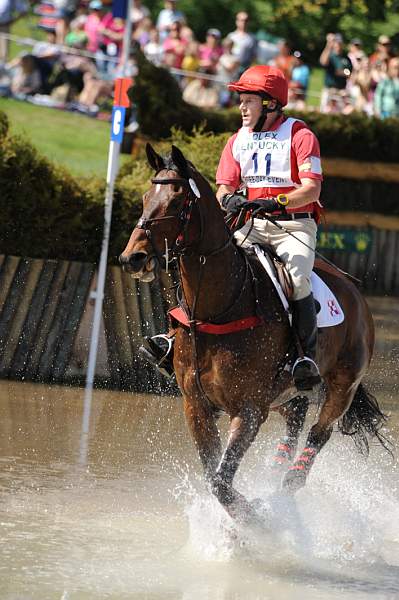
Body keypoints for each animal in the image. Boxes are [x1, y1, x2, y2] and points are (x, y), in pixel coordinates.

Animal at [119, 144, 388, 524]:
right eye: (145, 197)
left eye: (176, 201)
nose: (133, 257)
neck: (220, 307)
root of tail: (355, 293)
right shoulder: (197, 406)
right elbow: (213, 474)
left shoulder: (248, 410)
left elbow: (221, 480)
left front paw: (254, 519)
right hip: (285, 395)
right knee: (294, 423)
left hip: (341, 386)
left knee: (317, 435)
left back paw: (285, 491)